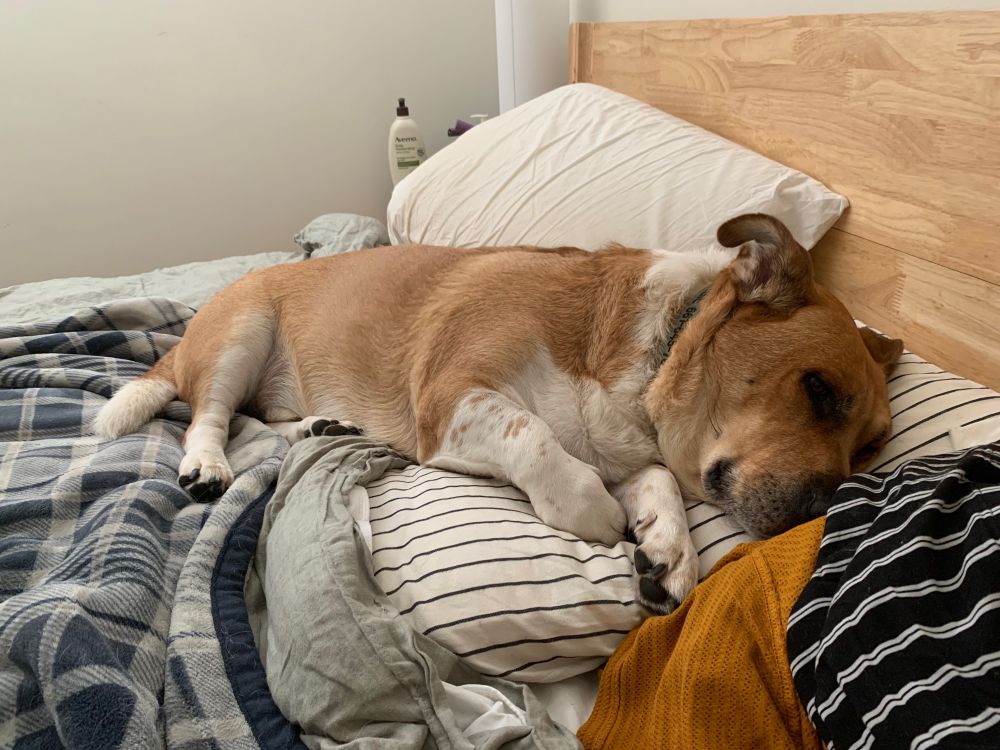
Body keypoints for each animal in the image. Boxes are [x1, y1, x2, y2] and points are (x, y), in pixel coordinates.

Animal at [94, 213, 902, 613]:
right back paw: (206, 464)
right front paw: (600, 516)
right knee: (211, 416)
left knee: (258, 422)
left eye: (870, 447)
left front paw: (669, 552)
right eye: (817, 389)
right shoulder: (455, 397)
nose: (830, 508)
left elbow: (659, 488)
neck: (651, 351)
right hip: (241, 335)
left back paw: (323, 427)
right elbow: (538, 440)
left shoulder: (625, 451)